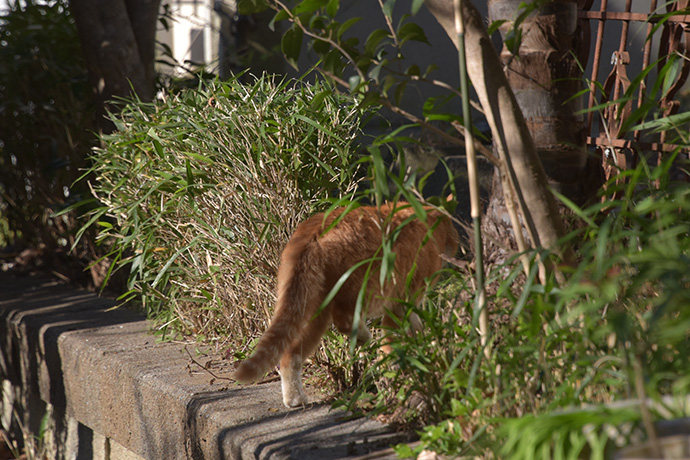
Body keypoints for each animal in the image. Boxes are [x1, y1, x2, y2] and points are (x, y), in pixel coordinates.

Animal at [234, 201, 460, 406]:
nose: (457, 247)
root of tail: (314, 229)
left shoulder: (403, 304)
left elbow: (413, 329)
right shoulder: (403, 300)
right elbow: (391, 339)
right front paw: (397, 367)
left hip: (314, 310)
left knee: (290, 353)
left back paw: (294, 399)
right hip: (359, 288)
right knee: (344, 320)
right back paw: (363, 337)